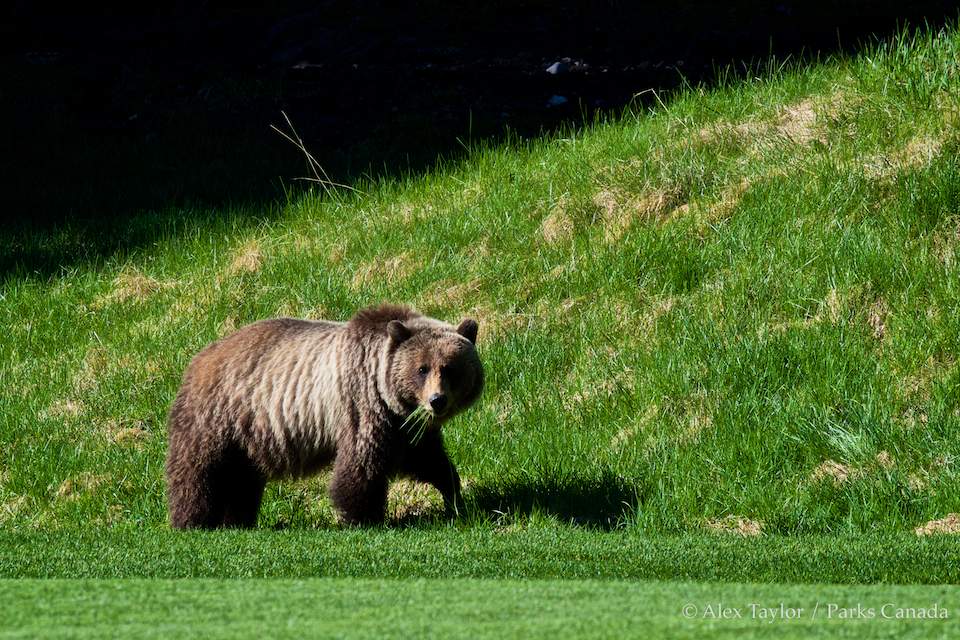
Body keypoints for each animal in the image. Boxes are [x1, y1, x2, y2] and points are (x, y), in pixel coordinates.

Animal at [164, 304, 483, 528]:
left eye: (450, 368)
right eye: (422, 369)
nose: (437, 400)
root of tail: (199, 358)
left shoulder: (406, 428)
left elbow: (431, 461)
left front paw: (454, 499)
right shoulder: (362, 406)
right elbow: (361, 465)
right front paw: (363, 517)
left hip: (249, 435)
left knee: (242, 480)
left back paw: (238, 520)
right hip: (217, 417)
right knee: (199, 470)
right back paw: (192, 521)